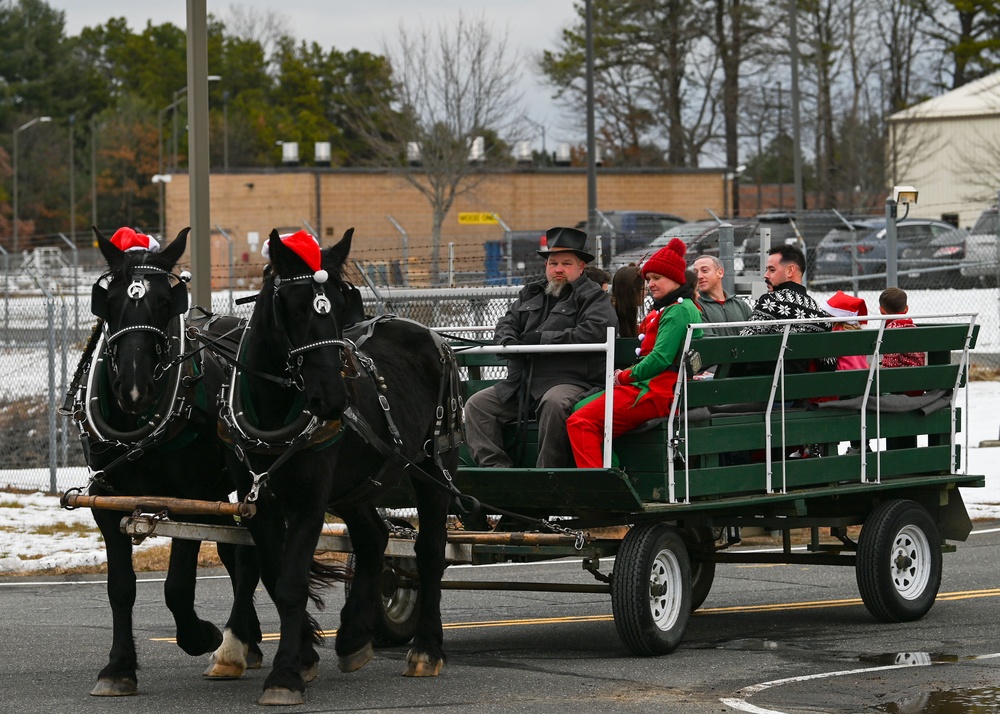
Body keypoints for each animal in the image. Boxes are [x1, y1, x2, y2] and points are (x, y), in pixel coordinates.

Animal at [70, 227, 266, 688]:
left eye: (164, 303)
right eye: (111, 303)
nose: (133, 385)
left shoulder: (187, 497)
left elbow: (177, 586)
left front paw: (202, 635)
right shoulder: (106, 499)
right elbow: (120, 587)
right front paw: (119, 667)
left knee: (249, 552)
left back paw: (237, 644)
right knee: (234, 551)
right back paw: (247, 641)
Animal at [219, 227, 460, 700]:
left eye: (338, 299)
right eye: (294, 306)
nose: (331, 398)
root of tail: (434, 337)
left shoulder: (310, 501)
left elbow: (292, 582)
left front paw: (285, 676)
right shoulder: (258, 500)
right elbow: (273, 574)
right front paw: (305, 656)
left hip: (433, 468)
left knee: (429, 551)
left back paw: (426, 648)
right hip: (357, 486)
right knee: (374, 537)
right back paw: (352, 638)